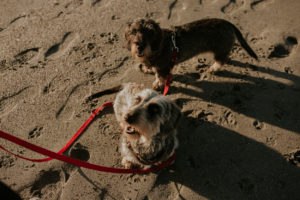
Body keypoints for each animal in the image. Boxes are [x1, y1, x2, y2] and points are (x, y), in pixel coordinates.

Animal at [124, 18, 258, 90]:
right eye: (134, 31)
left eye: (150, 32)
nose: (140, 46)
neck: (159, 46)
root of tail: (228, 23)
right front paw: (147, 69)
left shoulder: (164, 67)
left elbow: (160, 77)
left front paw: (158, 84)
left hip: (219, 50)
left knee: (220, 61)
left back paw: (213, 68)